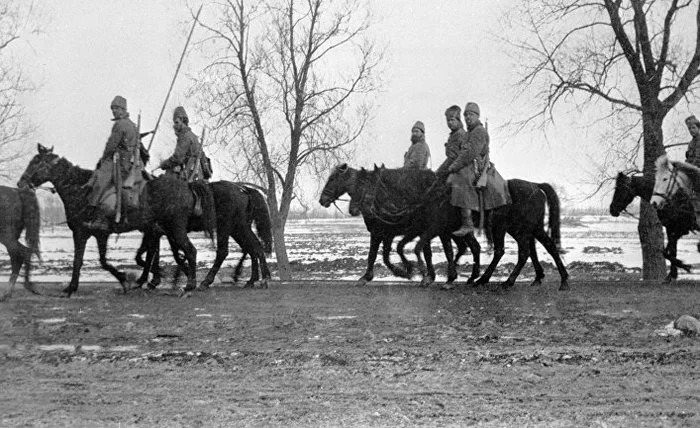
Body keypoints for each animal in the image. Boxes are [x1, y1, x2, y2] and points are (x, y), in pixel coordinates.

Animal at [17, 145, 215, 296]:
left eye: (36, 162)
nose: (21, 183)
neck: (80, 189)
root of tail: (188, 185)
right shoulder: (100, 234)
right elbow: (103, 261)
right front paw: (124, 279)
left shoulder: (81, 233)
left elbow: (79, 260)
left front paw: (72, 287)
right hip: (164, 229)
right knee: (168, 252)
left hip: (175, 228)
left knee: (190, 250)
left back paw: (190, 284)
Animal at [135, 182, 274, 290]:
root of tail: (244, 190)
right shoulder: (162, 232)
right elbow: (156, 253)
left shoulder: (162, 231)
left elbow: (157, 253)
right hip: (238, 229)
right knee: (255, 248)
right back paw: (255, 279)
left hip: (227, 227)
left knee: (225, 252)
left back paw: (207, 281)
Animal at [318, 166, 482, 286]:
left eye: (332, 179)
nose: (322, 200)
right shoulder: (386, 233)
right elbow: (382, 255)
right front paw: (405, 271)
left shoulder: (385, 233)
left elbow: (380, 254)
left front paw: (407, 271)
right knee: (471, 247)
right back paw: (469, 276)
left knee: (461, 248)